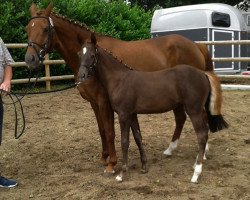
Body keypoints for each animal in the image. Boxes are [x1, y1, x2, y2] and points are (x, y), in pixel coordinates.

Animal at [24, 3, 219, 173]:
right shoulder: (94, 103)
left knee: (200, 119)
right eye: (27, 28)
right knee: (181, 119)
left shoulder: (104, 101)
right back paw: (171, 149)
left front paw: (112, 163)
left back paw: (203, 153)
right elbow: (102, 130)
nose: (30, 59)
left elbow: (110, 131)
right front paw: (104, 157)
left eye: (45, 28)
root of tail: (196, 45)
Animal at [77, 34, 229, 183]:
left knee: (201, 134)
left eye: (92, 55)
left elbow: (125, 141)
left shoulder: (123, 114)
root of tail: (203, 74)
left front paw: (121, 173)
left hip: (194, 109)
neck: (120, 79)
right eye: (79, 54)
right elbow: (138, 137)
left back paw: (196, 173)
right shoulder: (132, 114)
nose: (81, 76)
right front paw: (144, 166)